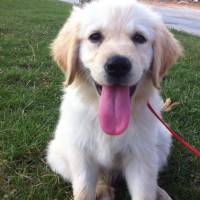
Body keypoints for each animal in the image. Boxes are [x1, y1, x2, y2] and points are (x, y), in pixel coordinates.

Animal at [46, 0, 181, 200]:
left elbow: (144, 191)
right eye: (95, 37)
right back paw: (102, 189)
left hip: (162, 140)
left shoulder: (141, 157)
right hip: (56, 153)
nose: (118, 65)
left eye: (139, 38)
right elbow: (83, 191)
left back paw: (159, 192)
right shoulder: (81, 155)